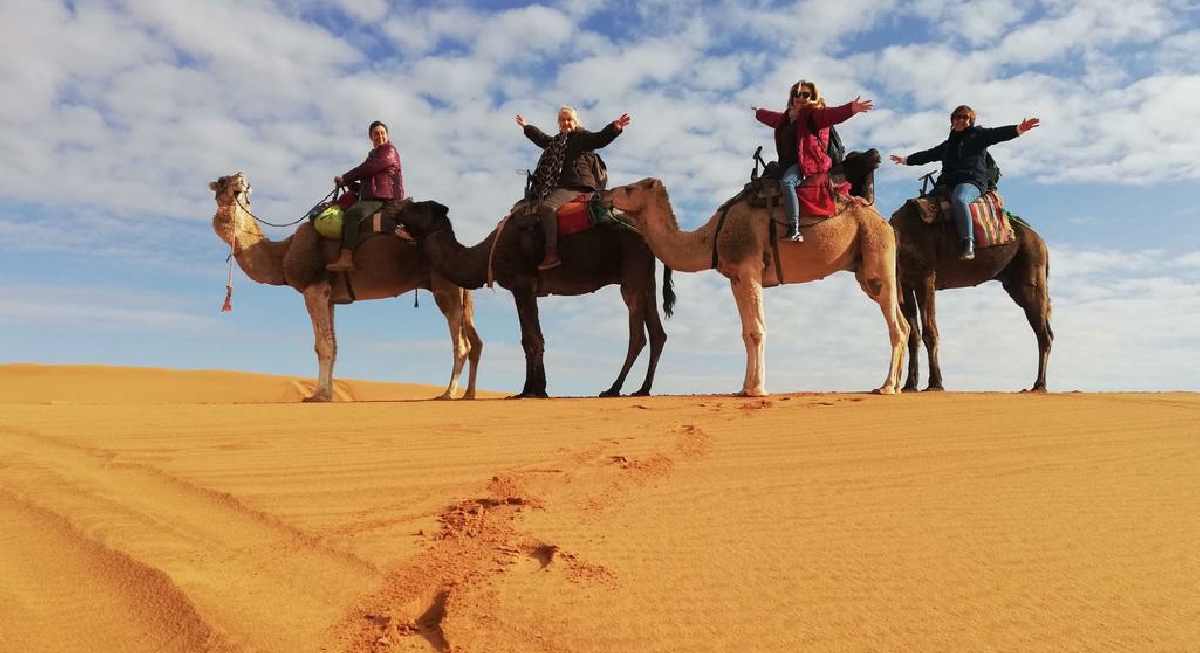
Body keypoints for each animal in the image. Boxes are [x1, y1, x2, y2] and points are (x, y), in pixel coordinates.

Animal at [208, 170, 480, 400]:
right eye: (223, 180)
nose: (241, 178)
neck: (284, 253)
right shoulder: (330, 297)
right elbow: (334, 346)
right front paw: (327, 394)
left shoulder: (314, 289)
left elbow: (323, 345)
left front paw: (317, 396)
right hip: (461, 292)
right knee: (475, 342)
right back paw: (468, 394)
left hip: (445, 289)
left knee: (462, 345)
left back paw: (447, 393)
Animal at [391, 201, 676, 398]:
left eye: (418, 207)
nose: (396, 206)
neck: (487, 254)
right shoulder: (529, 290)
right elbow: (535, 337)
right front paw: (539, 388)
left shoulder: (522, 285)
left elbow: (530, 339)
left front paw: (529, 390)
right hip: (641, 279)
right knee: (657, 332)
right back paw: (642, 389)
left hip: (634, 271)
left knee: (638, 335)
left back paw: (613, 388)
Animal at [604, 176, 902, 396]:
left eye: (630, 188)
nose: (602, 194)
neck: (713, 236)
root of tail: (884, 221)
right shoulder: (736, 278)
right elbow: (747, 332)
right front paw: (745, 388)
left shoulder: (749, 269)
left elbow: (757, 331)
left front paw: (757, 389)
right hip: (865, 268)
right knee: (903, 323)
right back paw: (895, 386)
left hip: (876, 251)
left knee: (896, 327)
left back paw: (886, 387)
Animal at [888, 199, 1056, 391]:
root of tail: (1040, 240)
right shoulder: (905, 283)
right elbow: (912, 335)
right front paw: (909, 385)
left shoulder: (925, 277)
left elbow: (929, 331)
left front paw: (935, 384)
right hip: (1015, 284)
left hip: (1031, 274)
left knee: (1044, 333)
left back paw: (1039, 385)